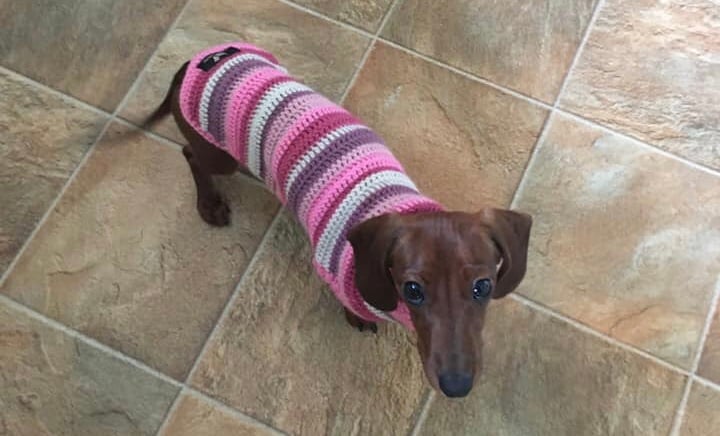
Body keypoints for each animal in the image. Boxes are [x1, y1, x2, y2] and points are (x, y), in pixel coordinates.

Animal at [143, 42, 532, 398]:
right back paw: (209, 204)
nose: (457, 386)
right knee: (190, 153)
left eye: (483, 287)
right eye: (413, 290)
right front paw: (357, 318)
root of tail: (194, 63)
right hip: (217, 154)